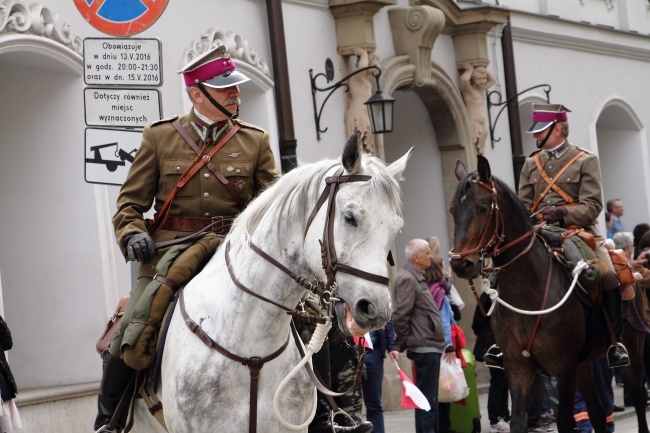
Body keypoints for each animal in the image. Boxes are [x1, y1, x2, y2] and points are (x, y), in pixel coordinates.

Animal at [448, 156, 644, 432]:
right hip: (584, 364)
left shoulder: (563, 366)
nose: (460, 264)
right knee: (598, 413)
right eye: (453, 210)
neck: (527, 290)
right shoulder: (517, 367)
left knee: (638, 398)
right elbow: (519, 421)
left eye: (483, 208)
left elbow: (565, 421)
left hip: (633, 353)